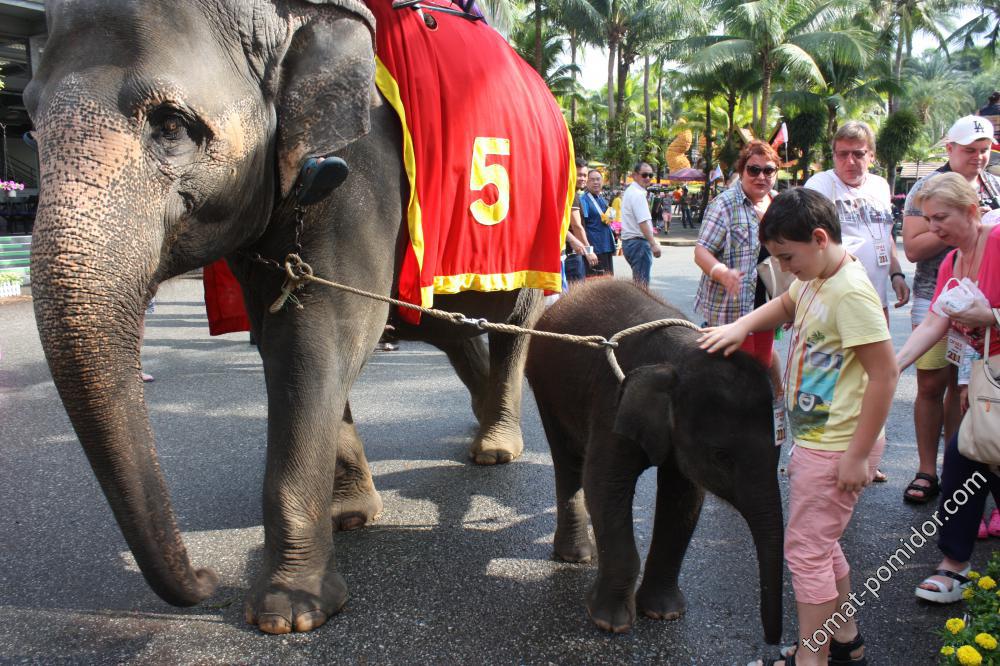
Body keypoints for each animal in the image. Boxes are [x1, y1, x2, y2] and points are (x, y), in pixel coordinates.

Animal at [25, 0, 556, 632]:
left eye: (171, 125)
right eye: (29, 125)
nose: (206, 579)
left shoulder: (362, 173)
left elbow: (315, 339)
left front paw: (287, 614)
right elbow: (290, 336)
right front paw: (349, 516)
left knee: (512, 315)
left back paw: (496, 447)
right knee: (444, 324)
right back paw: (479, 418)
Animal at [528, 276, 784, 640]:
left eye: (779, 450)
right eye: (721, 456)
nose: (772, 640)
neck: (683, 355)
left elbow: (683, 500)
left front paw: (665, 614)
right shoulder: (613, 401)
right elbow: (604, 485)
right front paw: (610, 623)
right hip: (545, 387)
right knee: (569, 462)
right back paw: (575, 557)